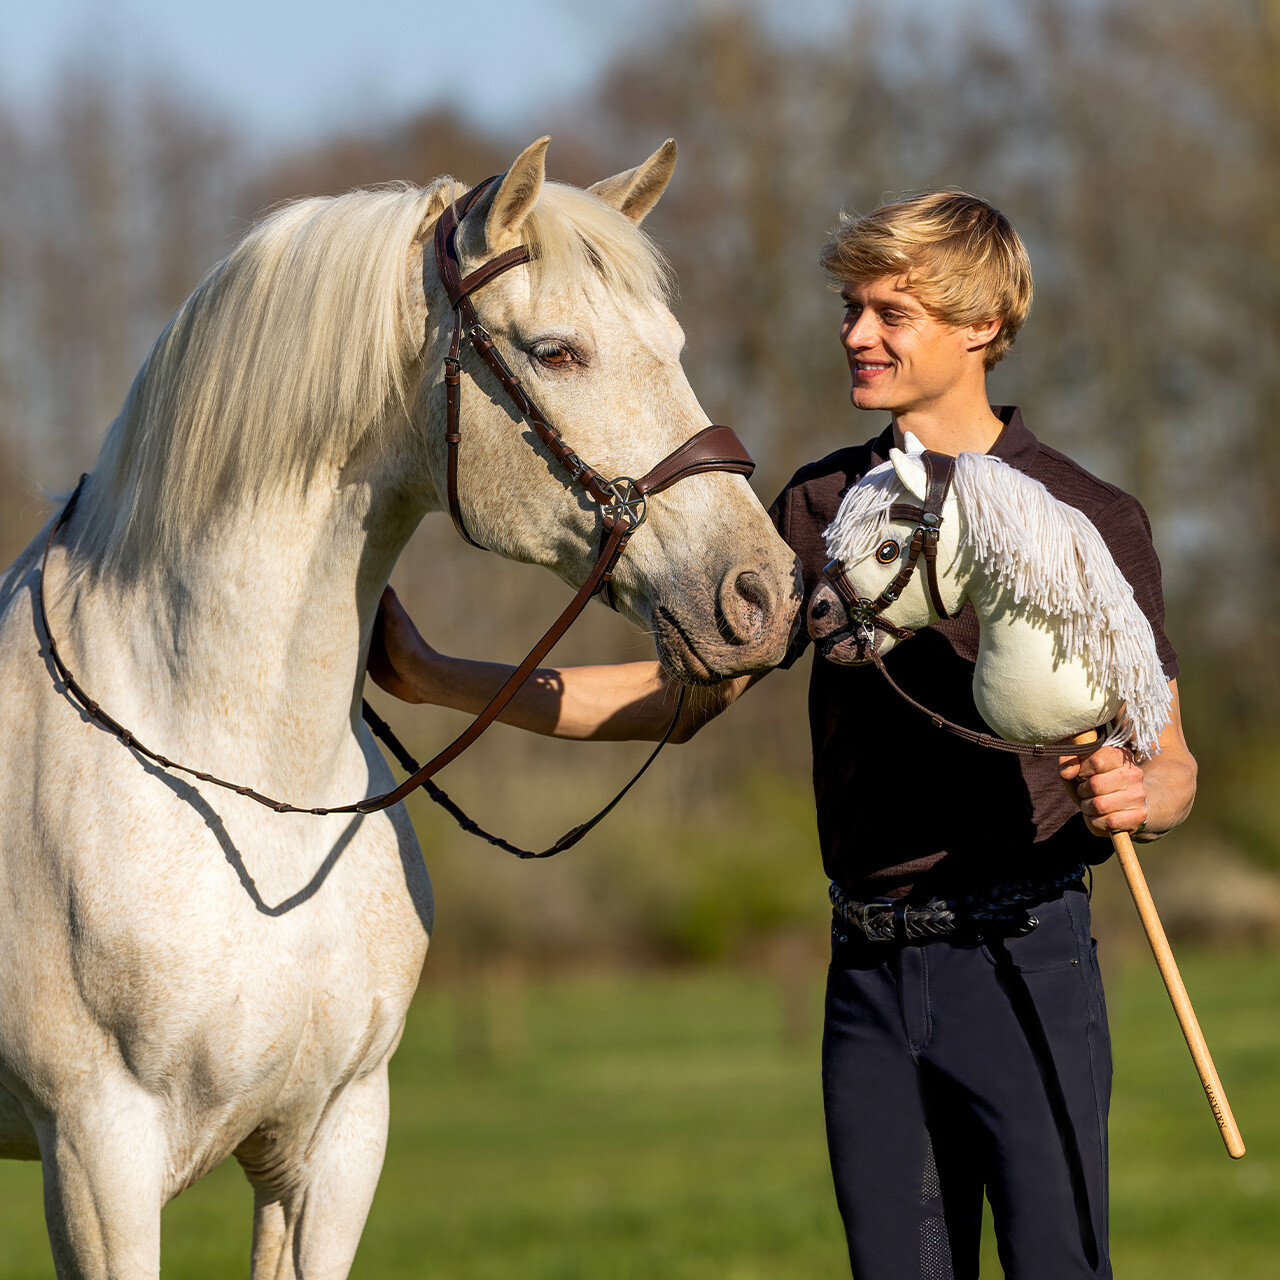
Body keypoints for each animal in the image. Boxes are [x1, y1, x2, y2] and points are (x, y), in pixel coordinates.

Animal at [0, 137, 800, 1279]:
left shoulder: (333, 1141)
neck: (250, 782)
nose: (760, 594)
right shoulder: (95, 1156)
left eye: (674, 346)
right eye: (557, 352)